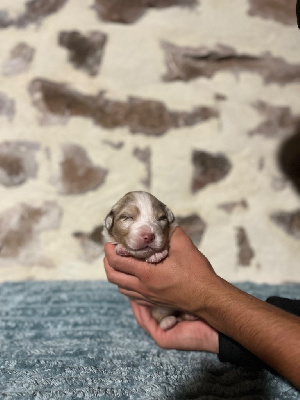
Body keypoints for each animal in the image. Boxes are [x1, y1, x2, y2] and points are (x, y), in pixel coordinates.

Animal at [103, 192, 197, 330]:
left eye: (161, 218)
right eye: (127, 217)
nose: (149, 236)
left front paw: (157, 254)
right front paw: (121, 248)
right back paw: (169, 321)